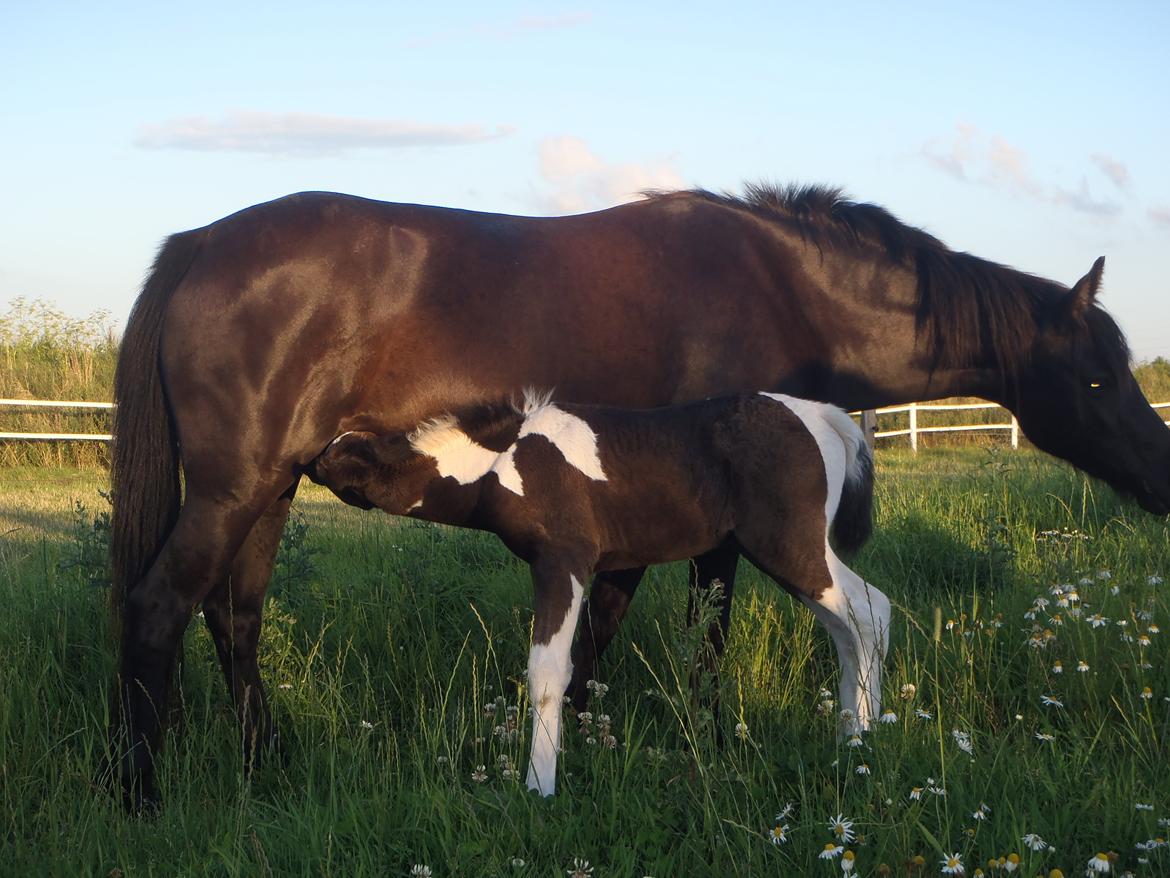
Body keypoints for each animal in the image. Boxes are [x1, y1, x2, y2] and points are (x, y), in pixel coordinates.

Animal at [306, 391, 889, 796]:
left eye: (346, 456)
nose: (307, 462)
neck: (504, 461)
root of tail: (824, 417)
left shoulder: (561, 563)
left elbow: (548, 672)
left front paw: (538, 787)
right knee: (856, 623)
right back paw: (856, 732)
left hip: (789, 546)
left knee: (868, 611)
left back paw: (862, 738)